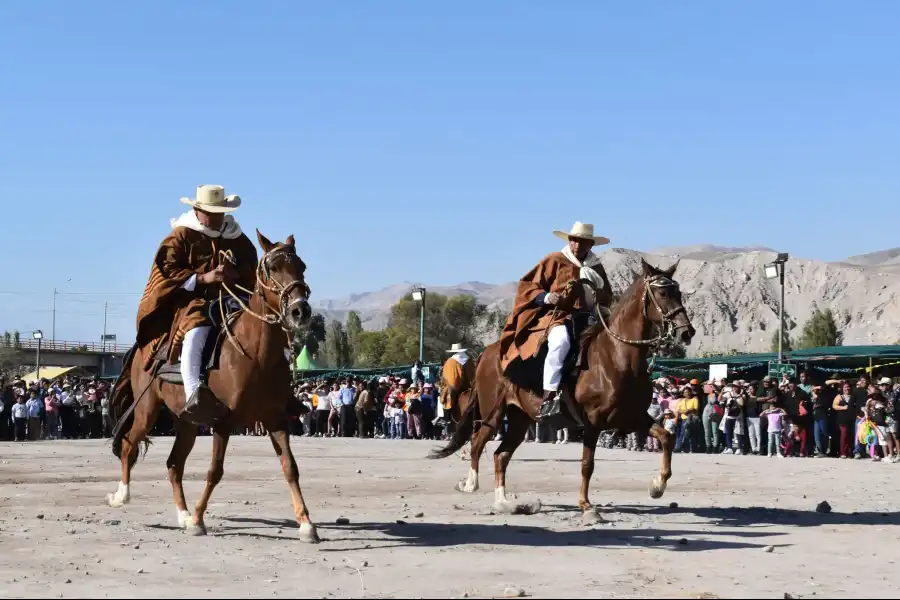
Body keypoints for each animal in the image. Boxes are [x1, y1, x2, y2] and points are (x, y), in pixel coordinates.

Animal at [107, 231, 322, 544]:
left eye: (302, 267)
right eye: (272, 268)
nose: (299, 311)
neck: (255, 355)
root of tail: (142, 347)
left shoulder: (276, 419)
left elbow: (290, 467)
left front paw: (306, 524)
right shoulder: (224, 422)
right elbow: (215, 471)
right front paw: (199, 519)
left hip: (185, 422)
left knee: (174, 464)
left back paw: (183, 515)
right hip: (147, 410)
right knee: (128, 446)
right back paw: (122, 496)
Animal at [428, 260, 696, 524]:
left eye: (678, 292)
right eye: (662, 293)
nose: (687, 331)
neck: (618, 357)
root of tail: (487, 353)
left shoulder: (633, 418)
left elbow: (666, 438)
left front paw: (657, 486)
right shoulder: (593, 422)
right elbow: (587, 464)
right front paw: (587, 506)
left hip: (519, 419)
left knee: (500, 455)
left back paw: (504, 502)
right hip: (492, 414)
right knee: (477, 444)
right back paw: (470, 484)